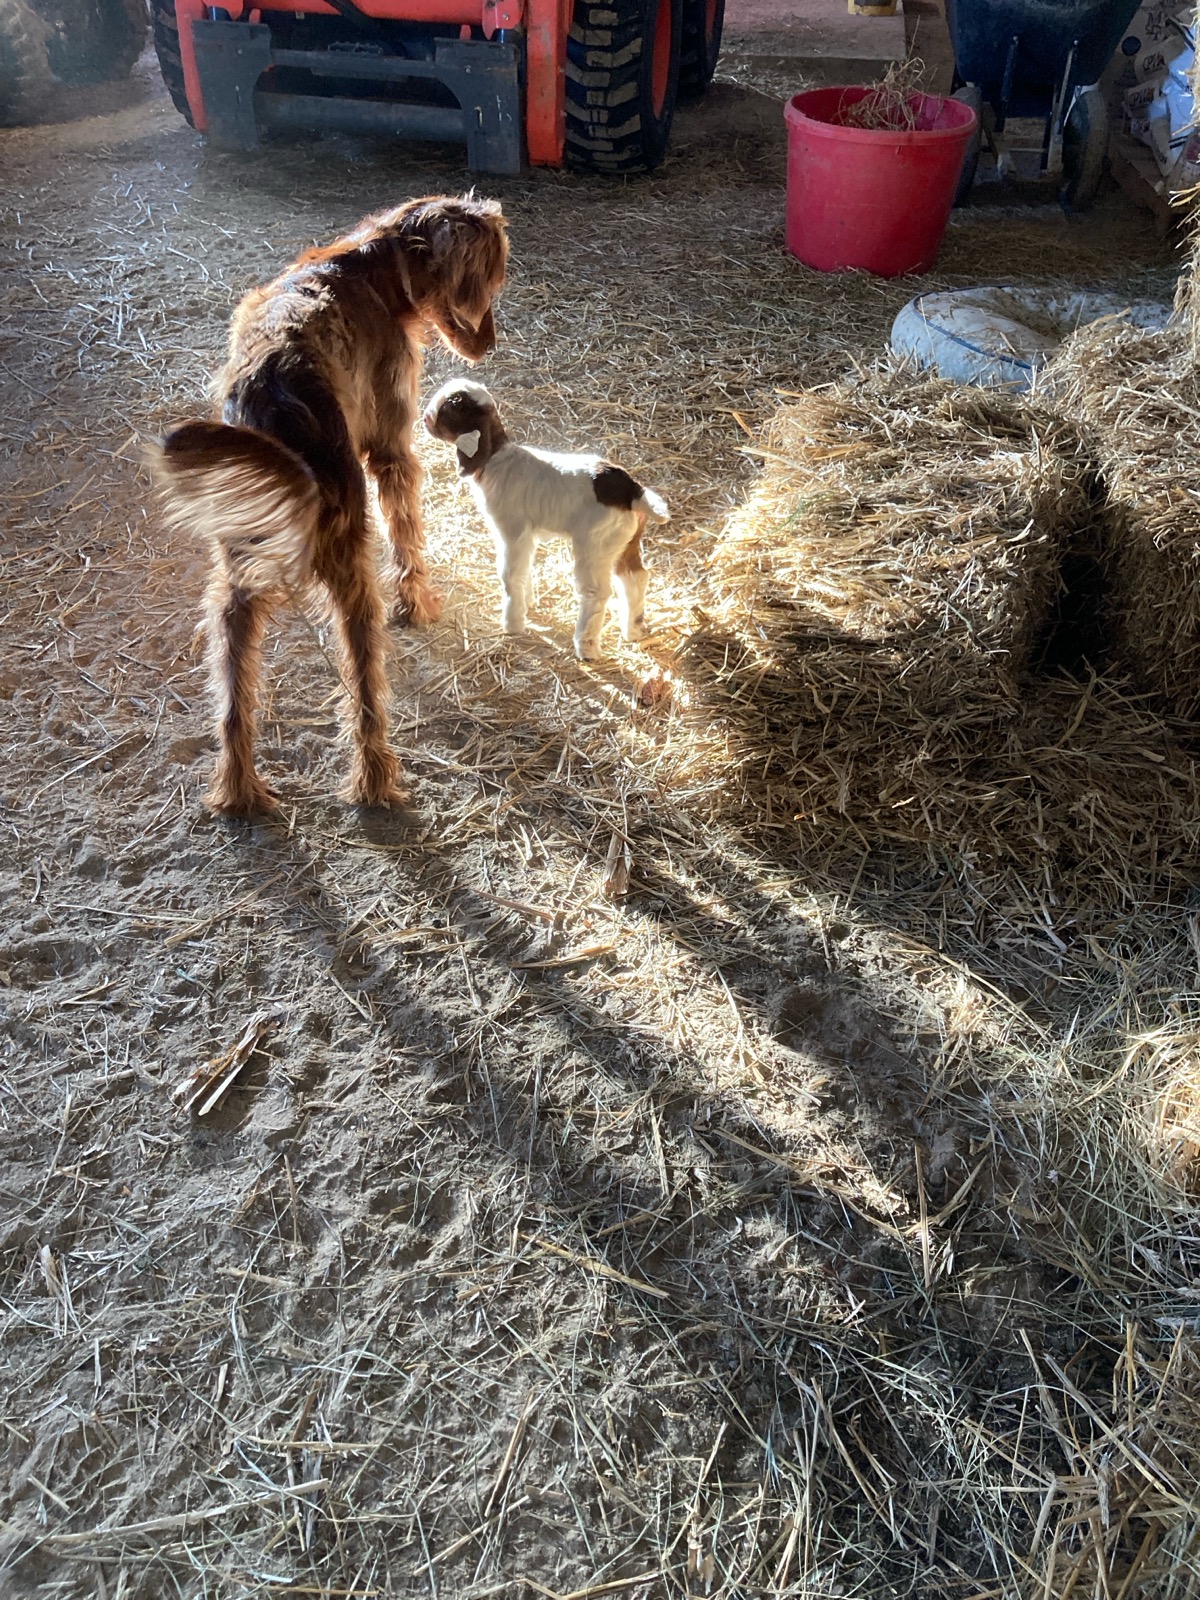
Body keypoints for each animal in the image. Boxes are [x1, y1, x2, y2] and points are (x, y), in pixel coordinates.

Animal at [153, 195, 508, 819]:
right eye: (489, 277)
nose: (488, 343)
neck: (379, 265)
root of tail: (272, 406)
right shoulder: (392, 450)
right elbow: (408, 536)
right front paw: (419, 604)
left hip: (232, 588)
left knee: (234, 694)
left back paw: (237, 785)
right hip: (351, 570)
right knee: (364, 686)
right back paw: (375, 777)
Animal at [422, 377, 668, 659]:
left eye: (452, 406)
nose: (425, 418)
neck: (495, 459)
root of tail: (631, 490)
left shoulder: (513, 531)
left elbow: (510, 574)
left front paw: (513, 624)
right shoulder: (526, 536)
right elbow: (525, 568)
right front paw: (527, 603)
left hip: (595, 544)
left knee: (596, 591)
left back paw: (586, 646)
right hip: (621, 541)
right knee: (635, 577)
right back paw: (634, 630)